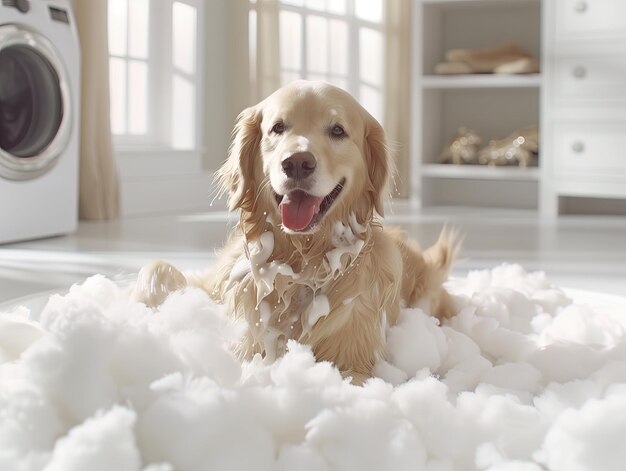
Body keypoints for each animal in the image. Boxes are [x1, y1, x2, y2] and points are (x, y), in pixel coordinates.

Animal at [132, 80, 460, 384]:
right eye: (278, 127)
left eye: (337, 130)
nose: (298, 163)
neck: (299, 261)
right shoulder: (217, 287)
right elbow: (157, 268)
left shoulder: (354, 363)